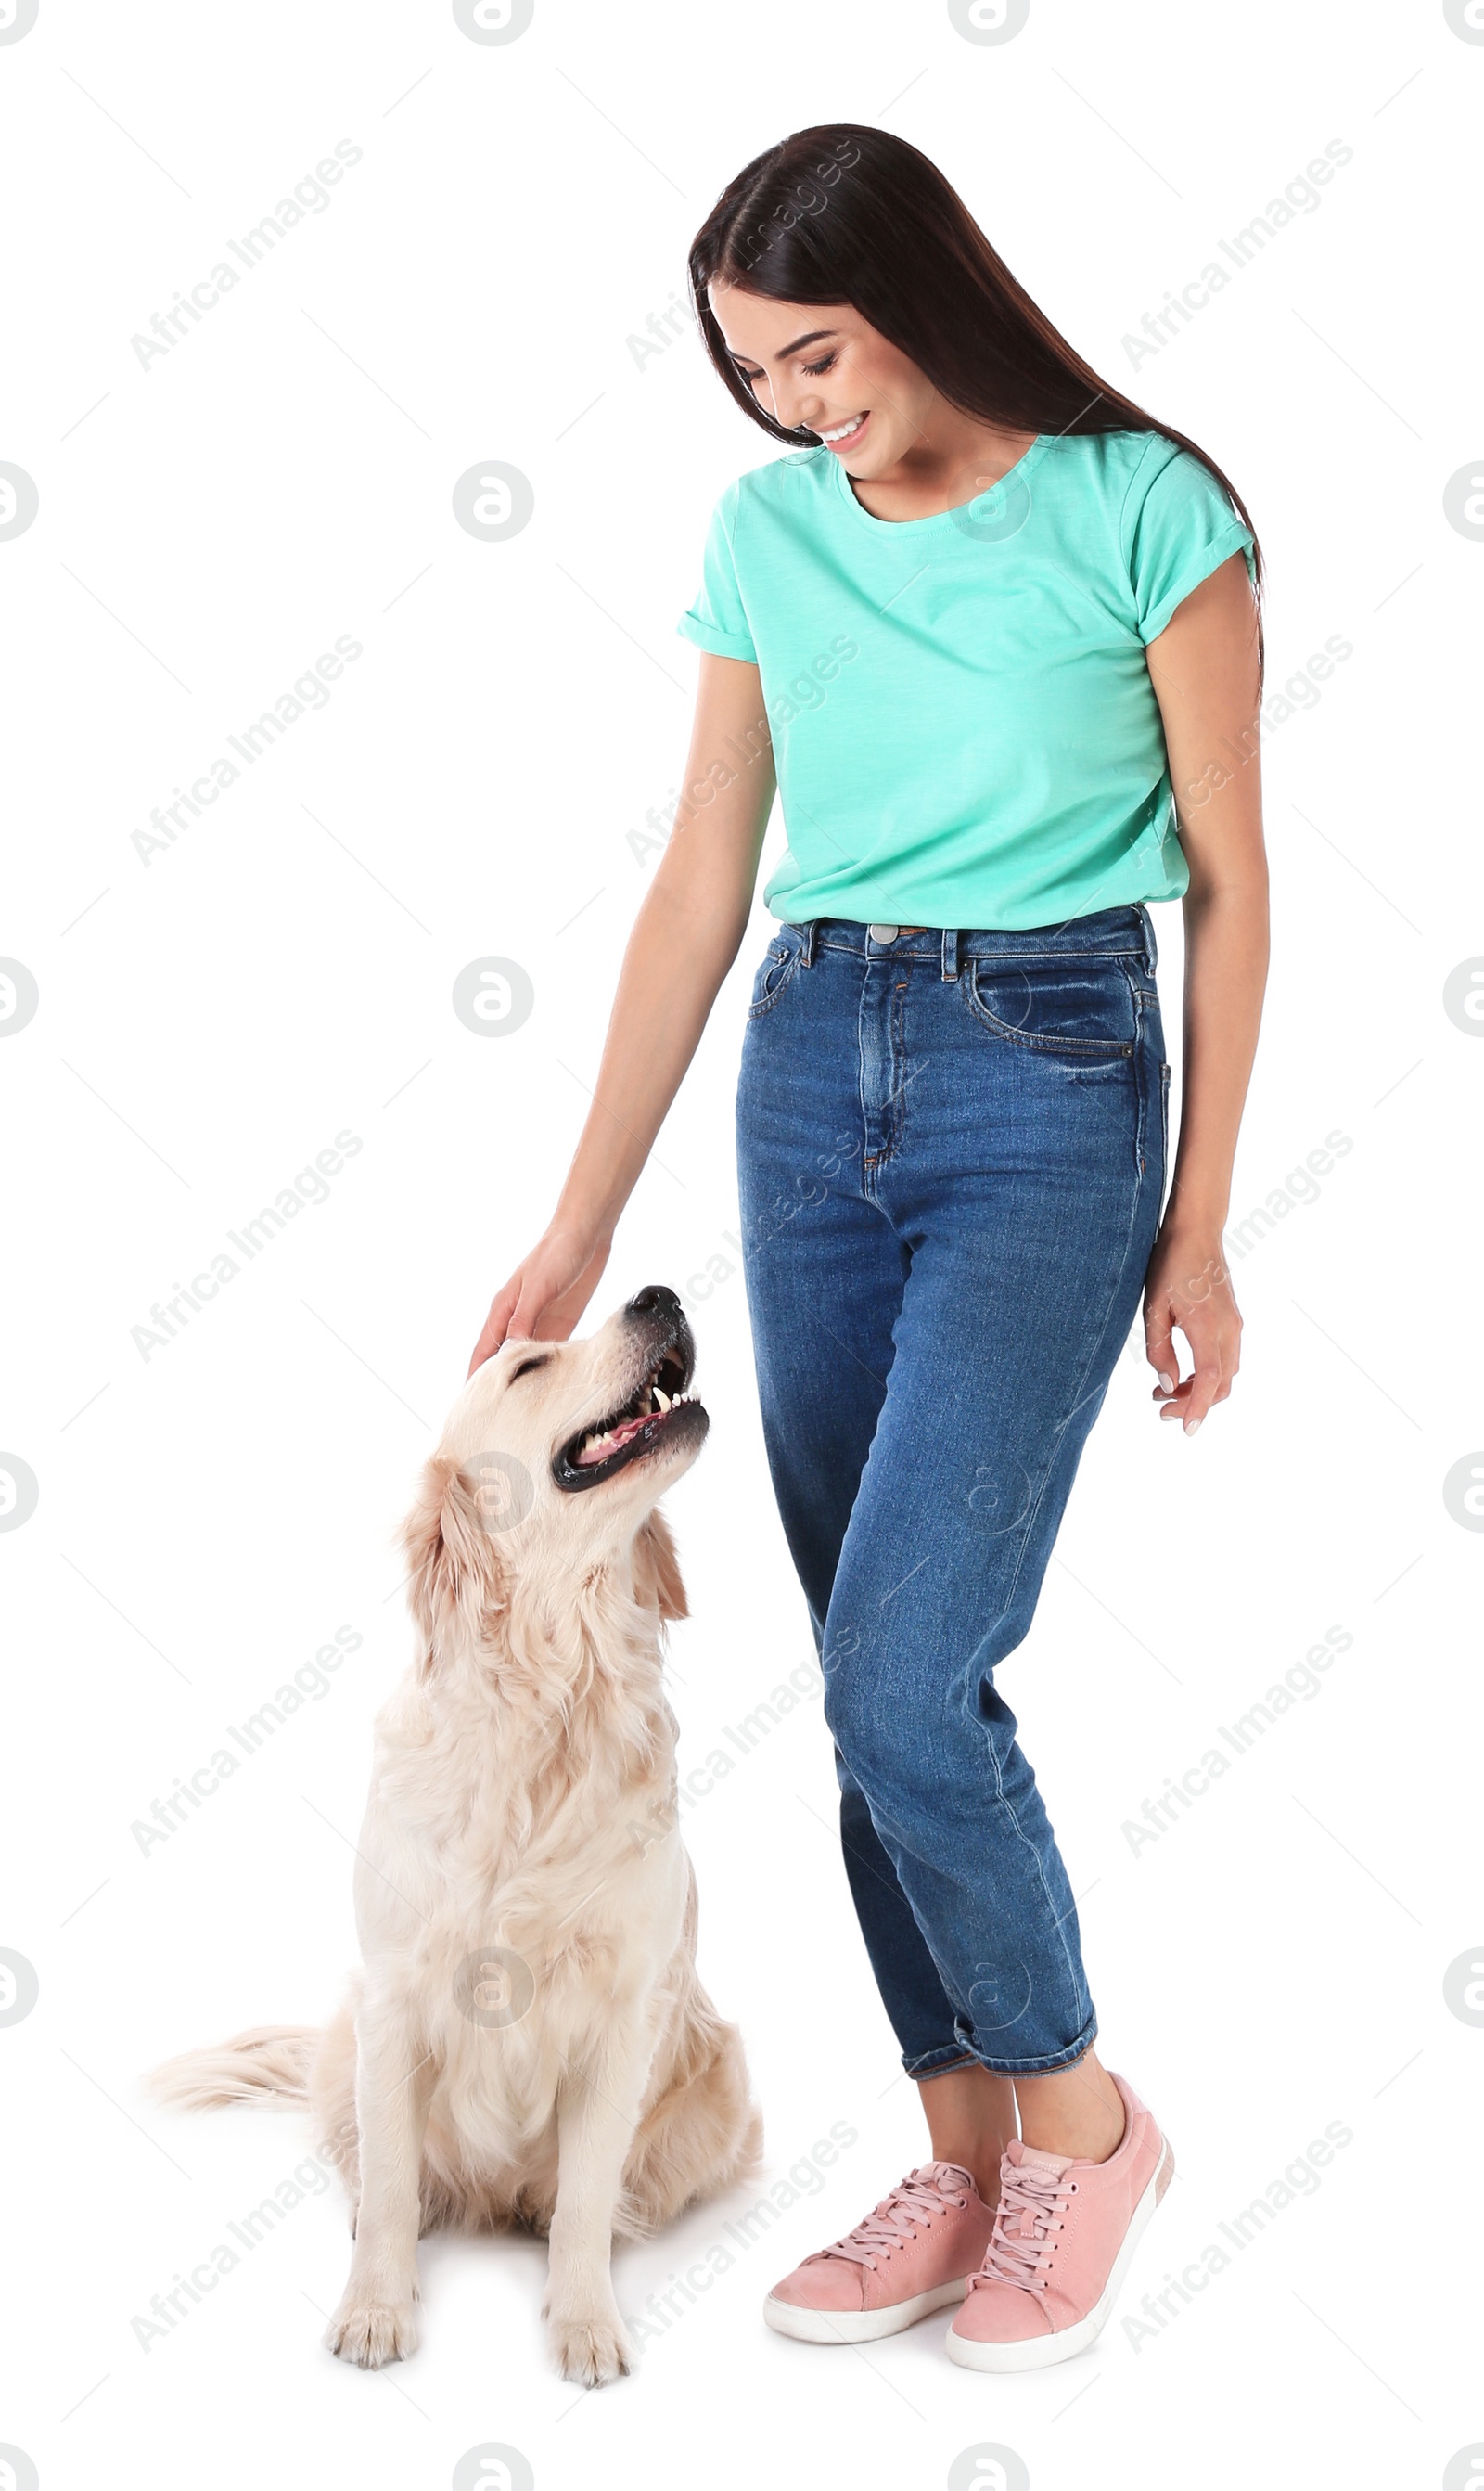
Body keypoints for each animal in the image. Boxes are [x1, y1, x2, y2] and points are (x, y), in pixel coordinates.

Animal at [155, 1295, 757, 2381]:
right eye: (527, 1367)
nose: (657, 1295)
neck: (552, 1698)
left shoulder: (626, 2010)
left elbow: (585, 2194)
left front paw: (584, 2321)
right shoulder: (394, 1996)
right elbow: (395, 2179)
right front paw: (374, 2310)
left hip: (721, 2075)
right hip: (350, 2036)